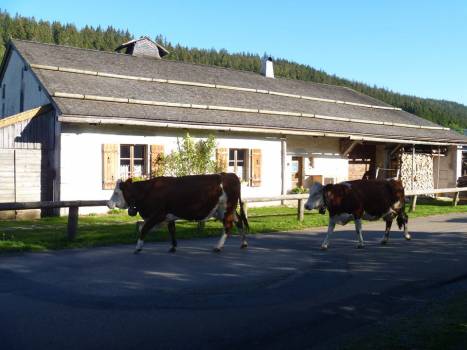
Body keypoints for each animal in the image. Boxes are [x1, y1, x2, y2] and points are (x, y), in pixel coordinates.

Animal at [108, 174, 250, 253]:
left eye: (116, 192)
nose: (108, 203)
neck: (147, 191)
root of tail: (229, 175)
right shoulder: (169, 216)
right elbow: (172, 230)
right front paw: (173, 247)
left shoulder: (157, 215)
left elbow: (144, 229)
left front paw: (138, 247)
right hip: (223, 210)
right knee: (239, 222)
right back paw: (243, 244)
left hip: (226, 208)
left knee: (228, 226)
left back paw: (218, 247)